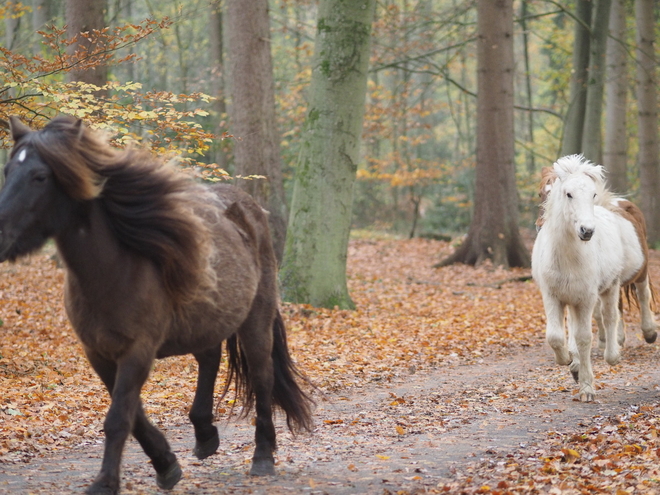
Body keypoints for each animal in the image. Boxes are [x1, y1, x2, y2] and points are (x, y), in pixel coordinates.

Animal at [0, 117, 314, 495]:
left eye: (40, 177)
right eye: (7, 171)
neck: (113, 270)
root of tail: (250, 211)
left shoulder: (138, 351)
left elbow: (119, 418)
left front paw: (106, 482)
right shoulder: (99, 354)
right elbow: (133, 415)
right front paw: (166, 464)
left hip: (256, 320)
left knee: (262, 376)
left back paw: (263, 456)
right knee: (209, 358)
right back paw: (205, 435)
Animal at [532, 155, 648, 404]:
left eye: (593, 194)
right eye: (568, 194)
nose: (587, 231)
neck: (567, 256)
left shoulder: (585, 298)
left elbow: (585, 338)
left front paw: (586, 388)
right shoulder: (553, 296)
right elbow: (555, 336)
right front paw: (567, 360)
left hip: (612, 286)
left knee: (613, 315)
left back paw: (615, 353)